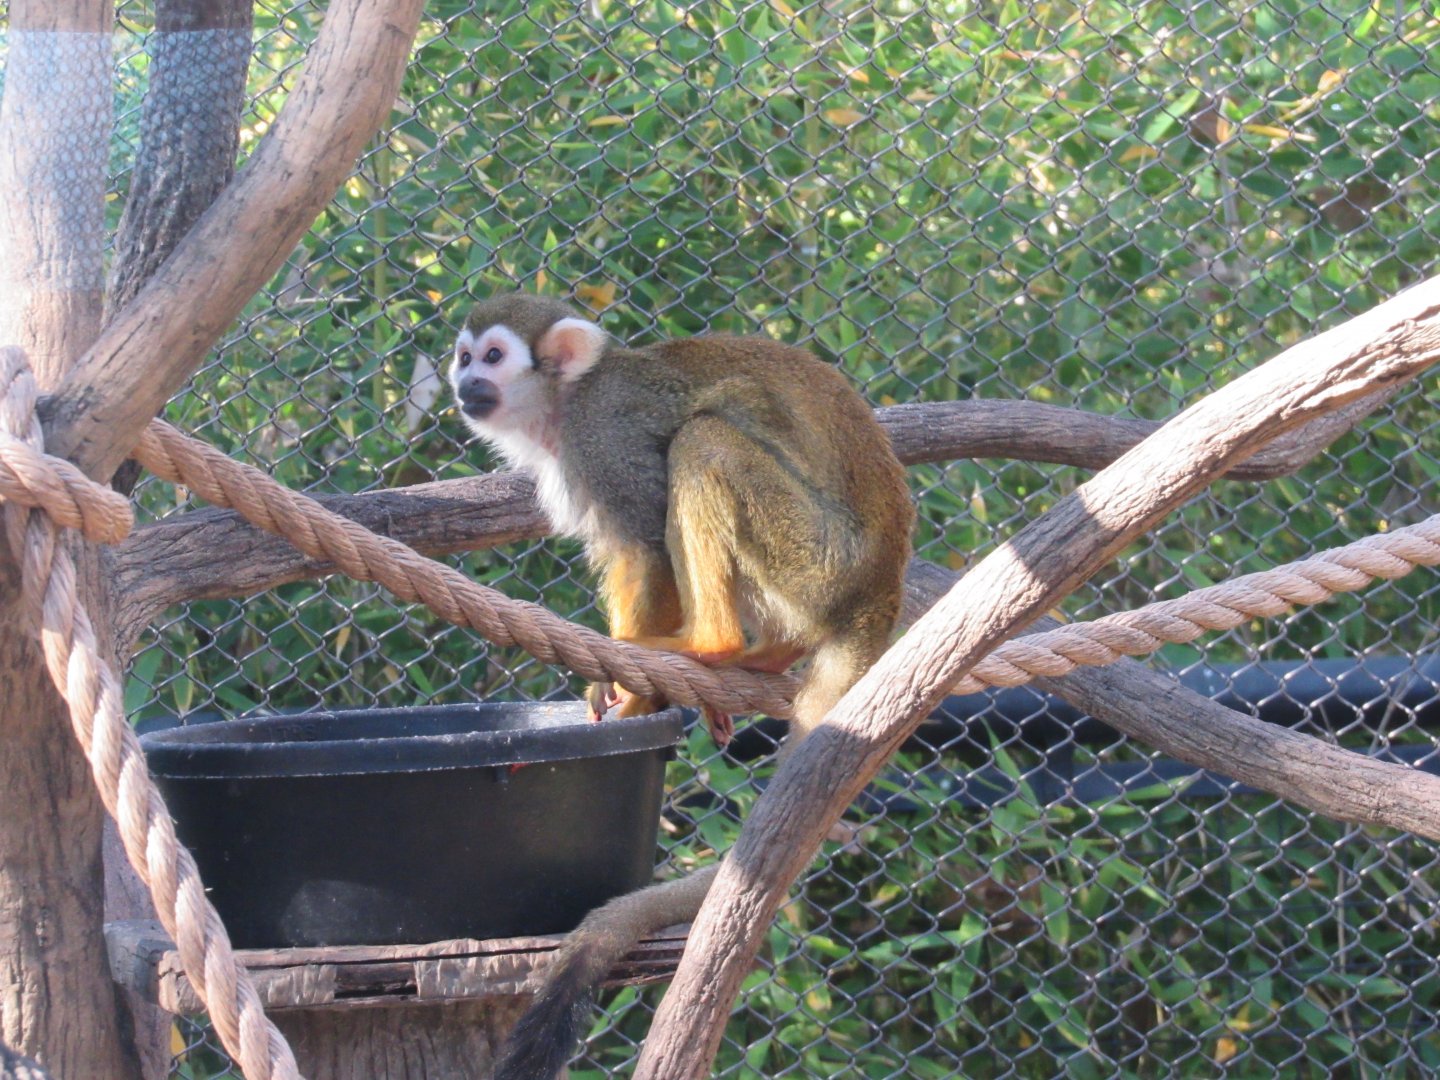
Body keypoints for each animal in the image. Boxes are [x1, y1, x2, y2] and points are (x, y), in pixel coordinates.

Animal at [446, 292, 912, 1078]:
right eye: (463, 356)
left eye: (494, 357)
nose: (464, 385)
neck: (561, 406)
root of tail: (879, 590)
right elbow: (622, 553)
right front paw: (631, 694)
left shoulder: (603, 434)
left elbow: (643, 542)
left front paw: (637, 693)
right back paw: (758, 659)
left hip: (818, 559)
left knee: (704, 440)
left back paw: (710, 645)